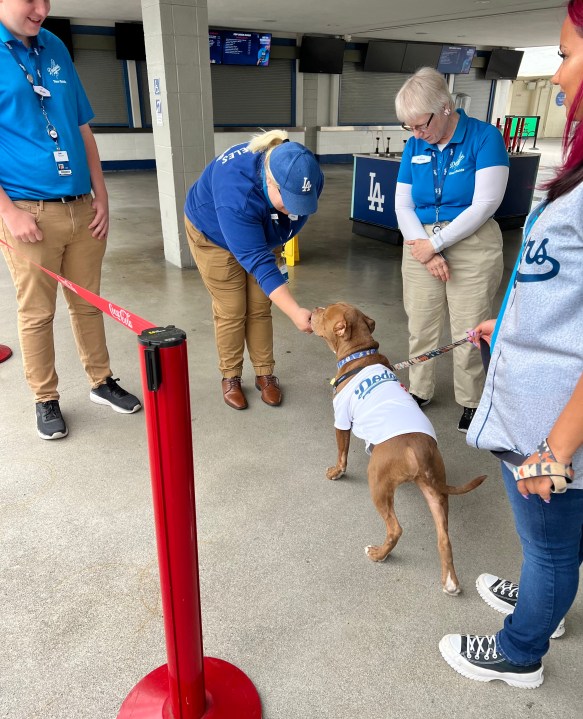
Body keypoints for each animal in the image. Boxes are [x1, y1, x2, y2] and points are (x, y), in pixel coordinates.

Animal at [312, 304, 486, 596]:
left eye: (325, 314)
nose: (314, 310)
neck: (360, 353)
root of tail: (418, 450)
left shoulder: (342, 421)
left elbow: (342, 452)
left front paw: (336, 472)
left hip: (378, 483)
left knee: (395, 528)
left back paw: (379, 554)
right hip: (436, 493)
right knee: (444, 539)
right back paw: (450, 582)